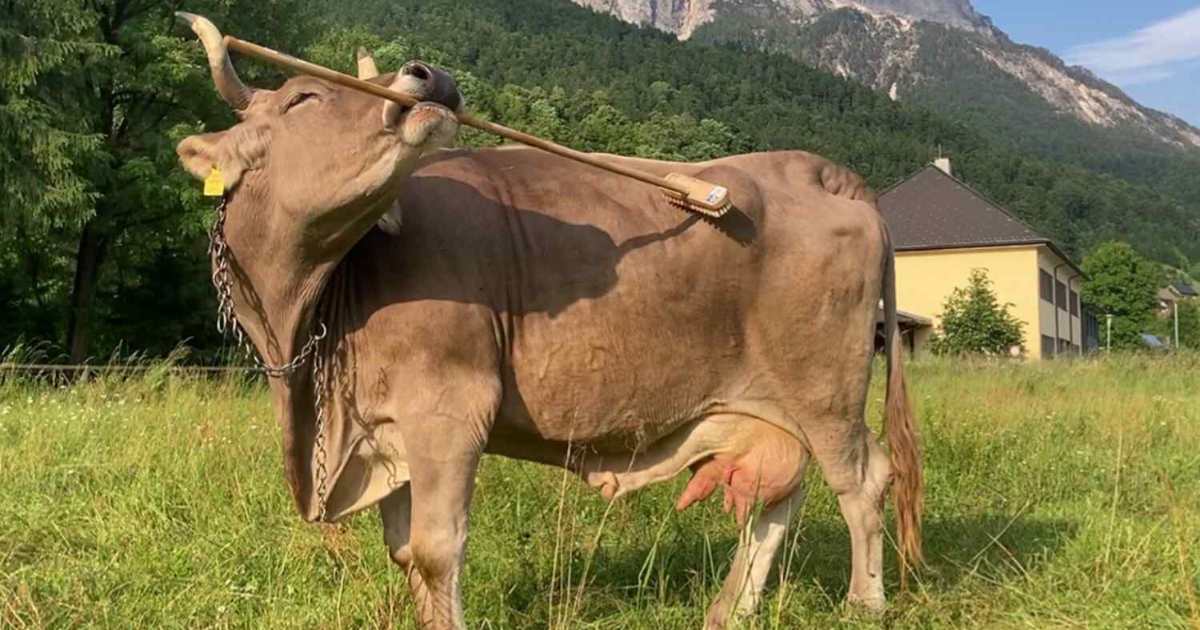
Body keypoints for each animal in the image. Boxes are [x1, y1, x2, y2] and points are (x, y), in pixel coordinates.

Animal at [175, 14, 922, 630]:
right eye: (301, 99)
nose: (430, 75)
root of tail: (814, 169)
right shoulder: (385, 429)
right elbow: (404, 552)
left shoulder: (448, 409)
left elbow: (436, 550)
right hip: (773, 402)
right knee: (780, 494)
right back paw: (729, 610)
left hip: (824, 387)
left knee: (861, 480)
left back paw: (864, 603)